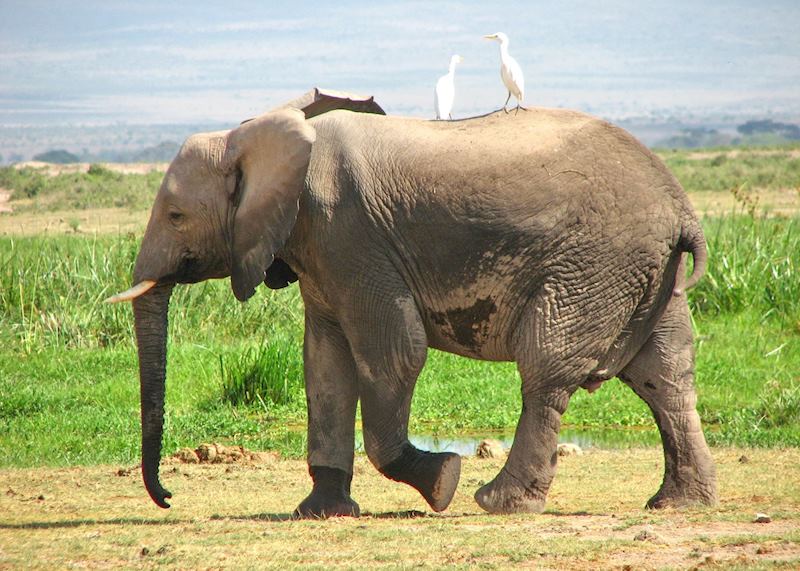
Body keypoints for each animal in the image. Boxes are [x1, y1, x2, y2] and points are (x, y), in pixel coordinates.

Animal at [108, 87, 718, 517]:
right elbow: (324, 363)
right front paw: (321, 512)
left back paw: (498, 503)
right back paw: (677, 503)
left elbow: (395, 350)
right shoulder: (321, 251)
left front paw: (442, 481)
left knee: (548, 368)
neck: (256, 133)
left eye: (175, 216)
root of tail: (680, 206)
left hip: (592, 264)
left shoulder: (348, 234)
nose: (169, 499)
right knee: (665, 375)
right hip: (644, 271)